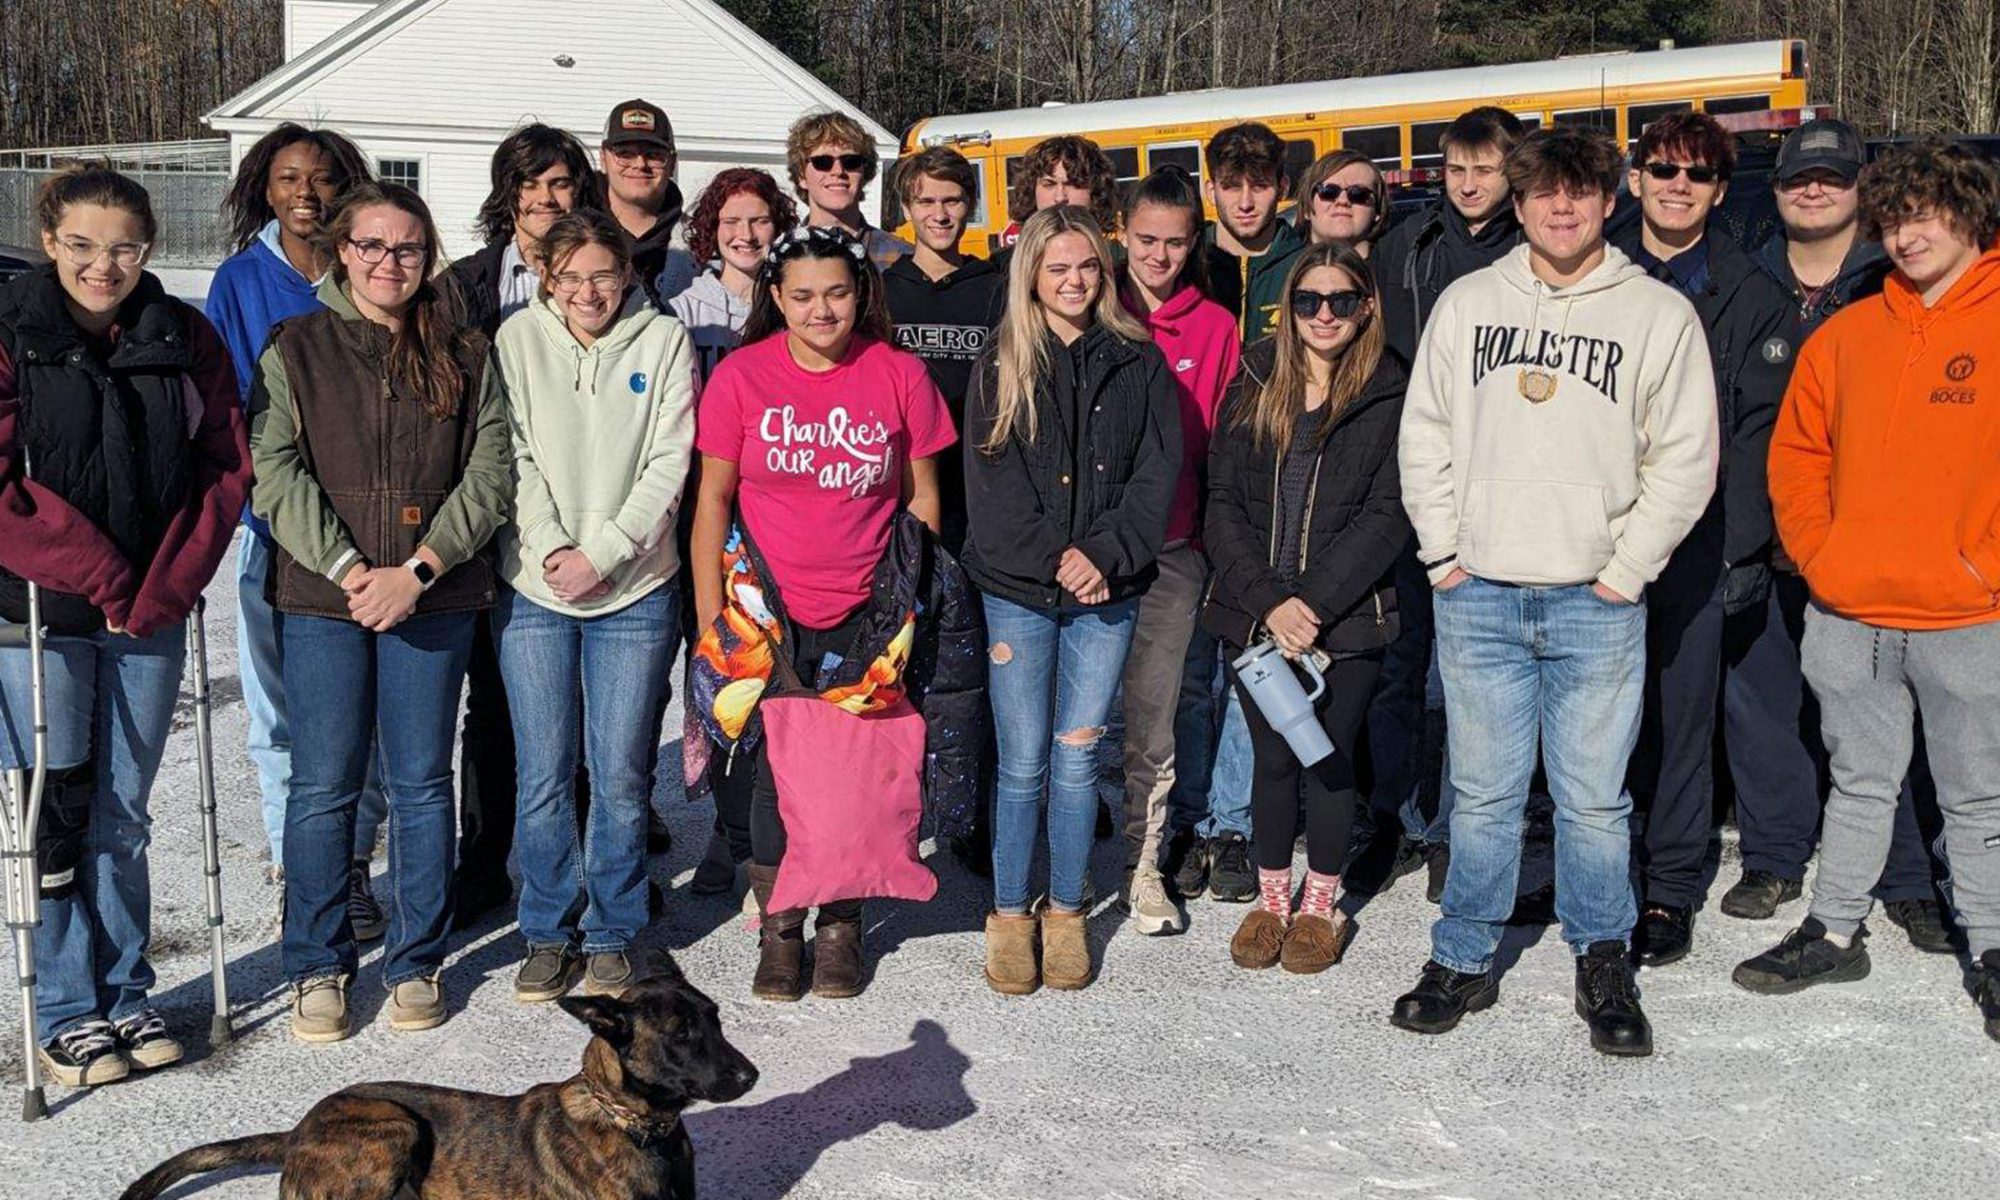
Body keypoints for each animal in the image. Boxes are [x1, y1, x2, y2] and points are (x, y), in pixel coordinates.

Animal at [121, 956, 756, 1200]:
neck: (633, 1124)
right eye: (680, 1034)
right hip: (394, 1127)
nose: (751, 1076)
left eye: (715, 1019)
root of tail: (298, 1130)